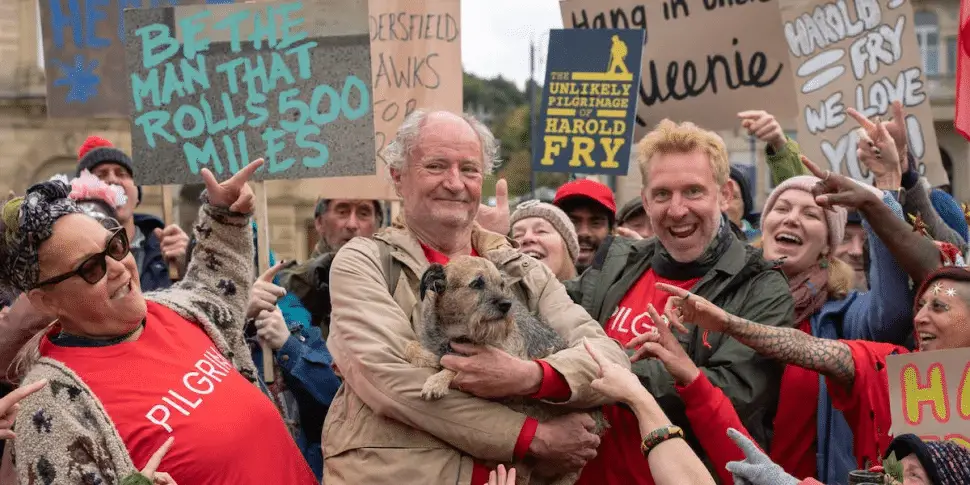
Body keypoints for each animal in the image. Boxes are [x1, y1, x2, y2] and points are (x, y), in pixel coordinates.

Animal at [402, 255, 600, 482]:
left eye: (502, 284)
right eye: (477, 283)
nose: (507, 305)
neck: (454, 334)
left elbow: (456, 364)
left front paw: (437, 381)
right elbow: (410, 346)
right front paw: (427, 357)